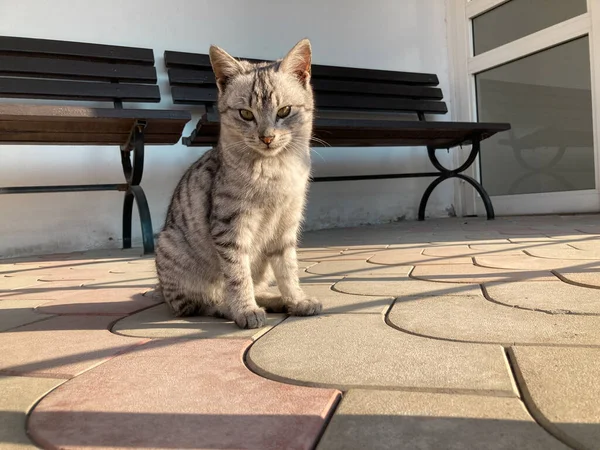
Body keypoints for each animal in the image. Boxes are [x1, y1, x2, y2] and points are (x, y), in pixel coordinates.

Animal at [156, 38, 324, 328]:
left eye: (284, 111)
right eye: (246, 114)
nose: (267, 137)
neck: (275, 170)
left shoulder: (286, 225)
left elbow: (288, 269)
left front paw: (296, 299)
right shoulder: (229, 227)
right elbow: (237, 275)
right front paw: (245, 310)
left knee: (257, 286)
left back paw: (276, 300)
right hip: (172, 252)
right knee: (202, 304)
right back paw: (234, 308)